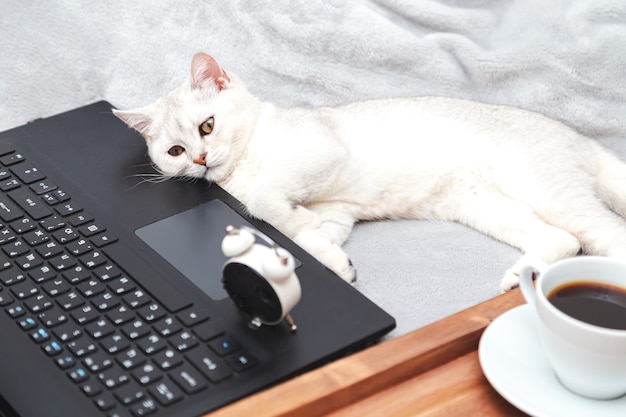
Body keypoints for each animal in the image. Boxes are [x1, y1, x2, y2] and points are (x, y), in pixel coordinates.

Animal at [114, 52, 624, 290]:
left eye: (208, 125)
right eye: (176, 150)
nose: (200, 159)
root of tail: (581, 138)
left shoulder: (321, 151)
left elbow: (265, 201)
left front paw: (296, 222)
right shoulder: (338, 210)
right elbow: (309, 235)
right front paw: (330, 256)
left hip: (546, 190)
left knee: (603, 233)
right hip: (487, 207)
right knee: (563, 240)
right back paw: (523, 276)